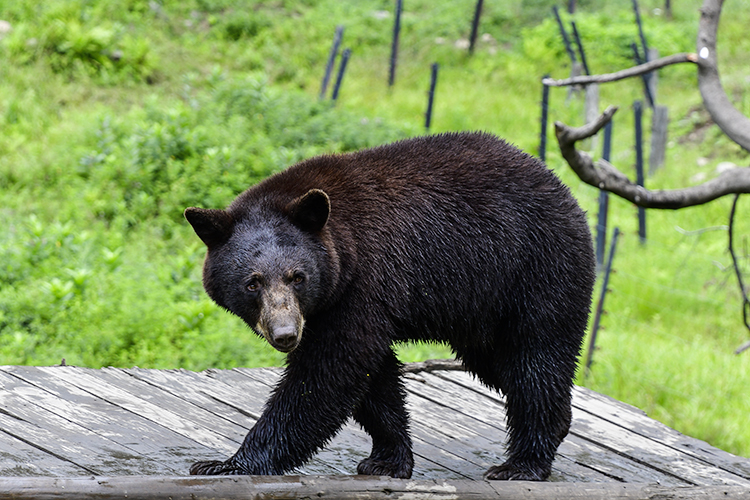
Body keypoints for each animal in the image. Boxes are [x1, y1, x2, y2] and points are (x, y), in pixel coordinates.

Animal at [185, 132, 596, 480]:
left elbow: (328, 372)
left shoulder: (365, 282)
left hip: (536, 273)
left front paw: (229, 463)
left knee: (535, 360)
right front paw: (388, 458)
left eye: (297, 276)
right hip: (482, 312)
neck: (343, 246)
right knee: (502, 365)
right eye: (252, 282)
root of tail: (565, 191)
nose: (285, 334)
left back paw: (522, 463)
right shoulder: (351, 302)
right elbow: (374, 379)